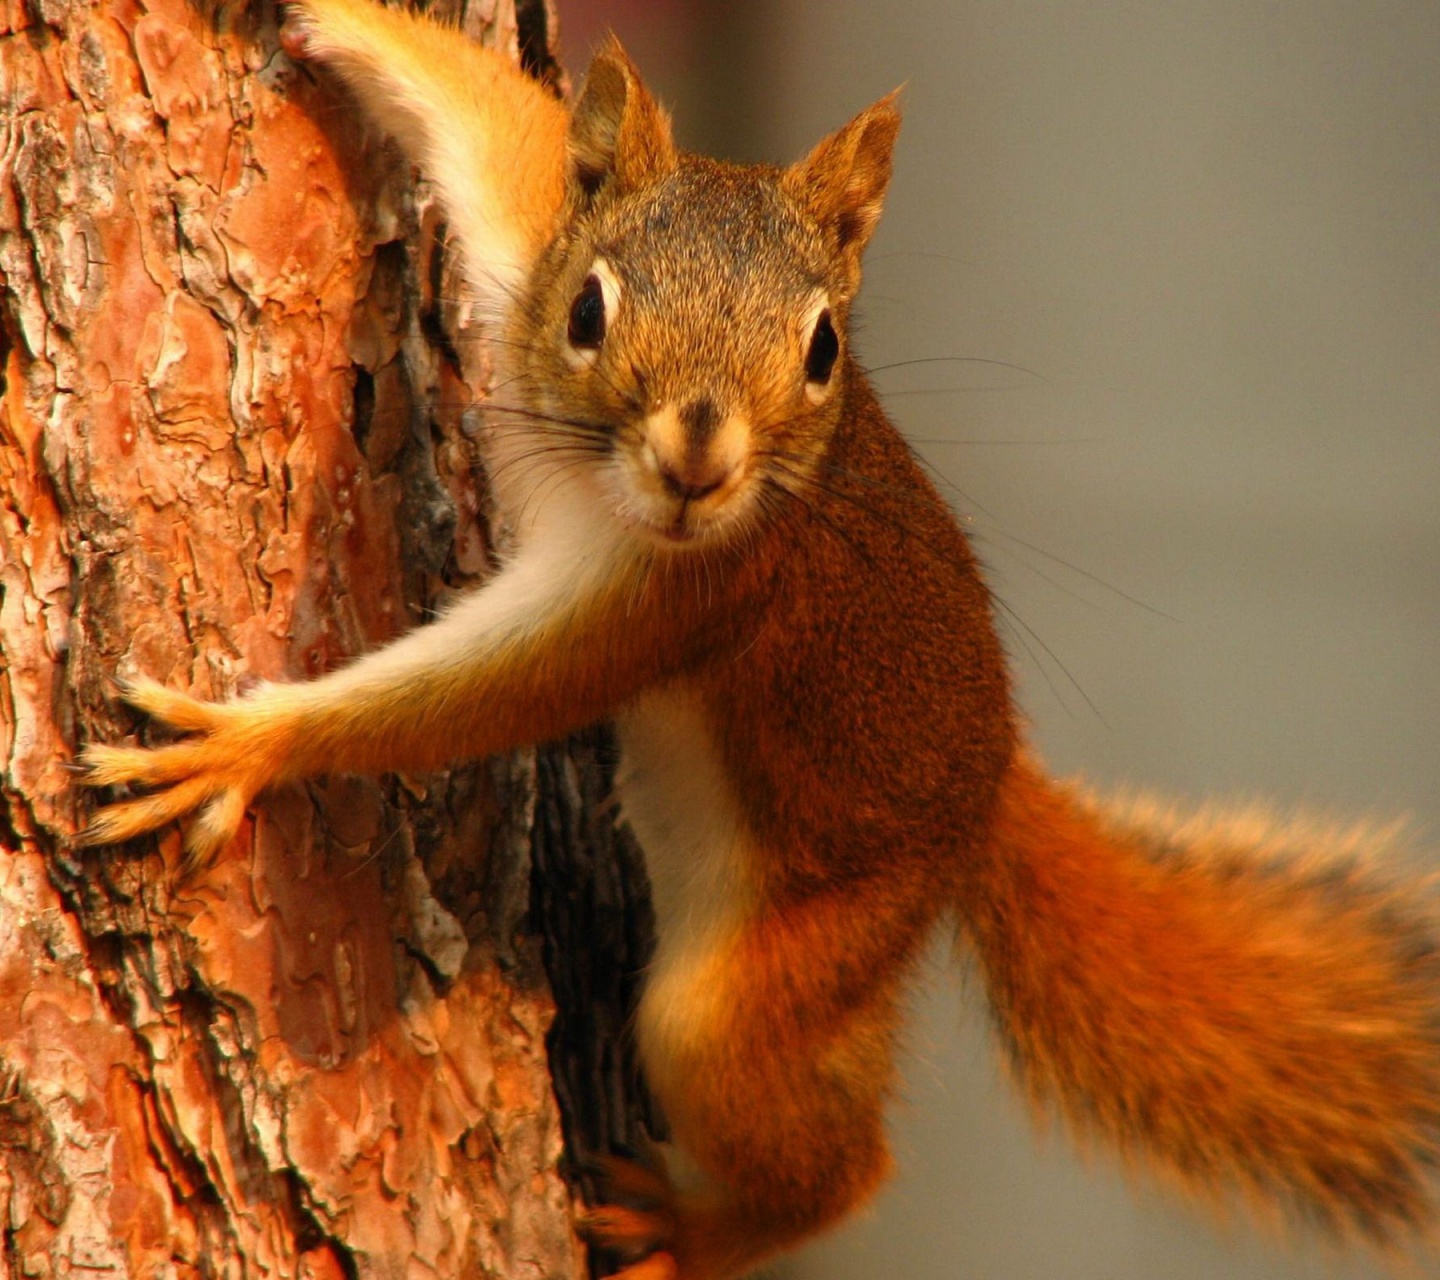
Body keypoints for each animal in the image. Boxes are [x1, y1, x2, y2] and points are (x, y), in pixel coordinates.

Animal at [81, 2, 1440, 1278]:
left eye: (825, 343)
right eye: (588, 308)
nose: (700, 460)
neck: (603, 485)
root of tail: (989, 789)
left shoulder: (680, 598)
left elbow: (479, 696)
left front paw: (245, 743)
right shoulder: (525, 247)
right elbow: (493, 120)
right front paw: (322, 18)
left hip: (787, 968)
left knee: (833, 1160)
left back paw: (693, 1228)